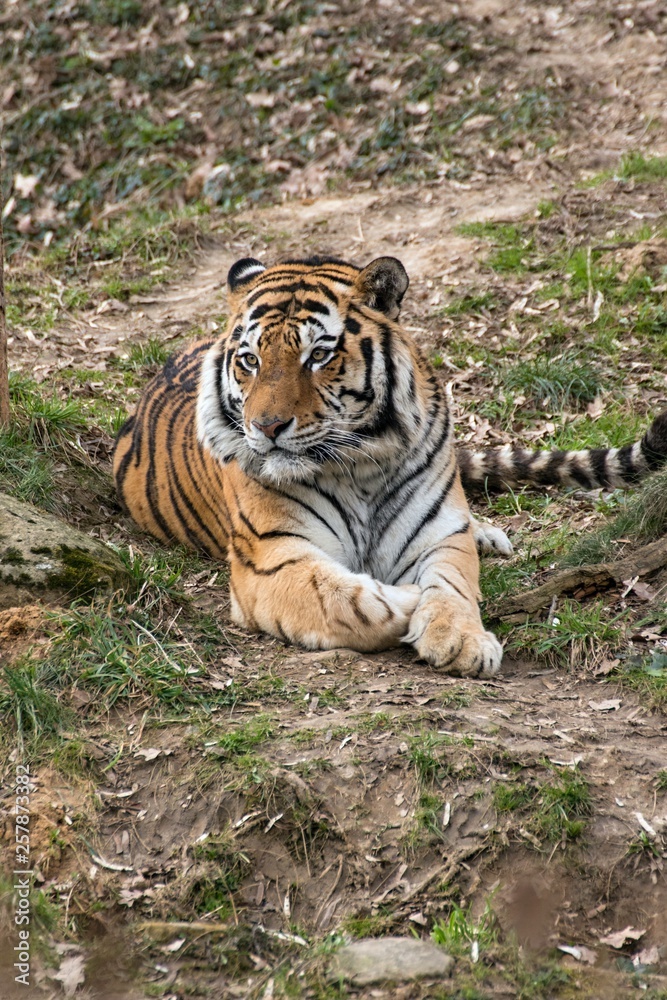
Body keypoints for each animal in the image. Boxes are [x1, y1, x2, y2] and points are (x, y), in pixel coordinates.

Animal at [113, 256, 667, 680]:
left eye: (318, 356)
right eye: (249, 360)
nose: (266, 426)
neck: (358, 463)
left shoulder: (438, 534)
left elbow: (451, 585)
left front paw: (462, 638)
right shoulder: (272, 558)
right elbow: (346, 599)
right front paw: (409, 599)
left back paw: (487, 535)